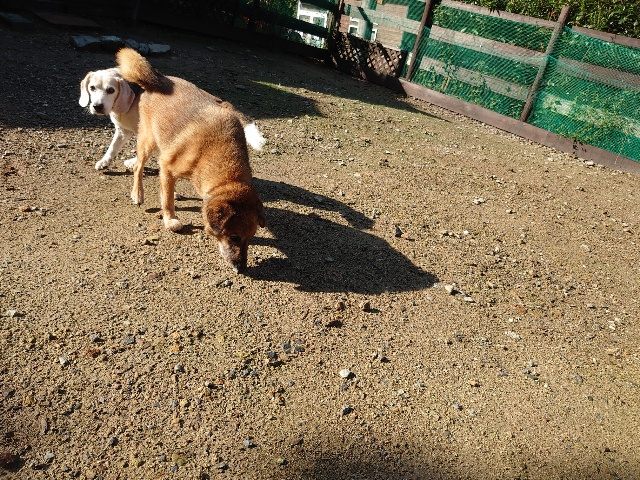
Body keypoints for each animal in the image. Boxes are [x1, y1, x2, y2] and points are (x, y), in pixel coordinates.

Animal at [116, 47, 265, 273]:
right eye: (234, 237)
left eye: (251, 238)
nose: (241, 268)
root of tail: (160, 79)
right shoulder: (168, 166)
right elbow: (167, 202)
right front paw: (170, 220)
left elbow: (167, 192)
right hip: (148, 141)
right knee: (138, 168)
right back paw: (138, 193)